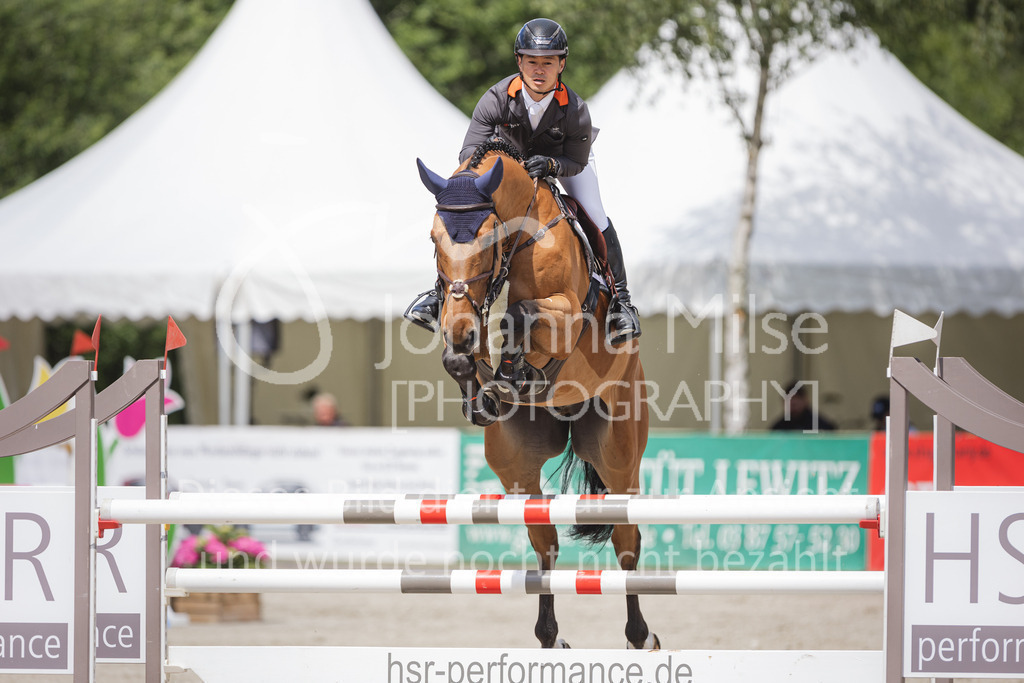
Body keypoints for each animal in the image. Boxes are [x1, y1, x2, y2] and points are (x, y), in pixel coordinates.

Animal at [415, 140, 656, 650]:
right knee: (544, 543)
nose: (461, 330)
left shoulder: (563, 315)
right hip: (517, 465)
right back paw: (551, 638)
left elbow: (520, 313)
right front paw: (483, 395)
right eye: (433, 239)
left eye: (487, 237)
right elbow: (461, 356)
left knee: (627, 542)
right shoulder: (462, 316)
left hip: (619, 455)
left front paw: (514, 367)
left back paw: (640, 637)